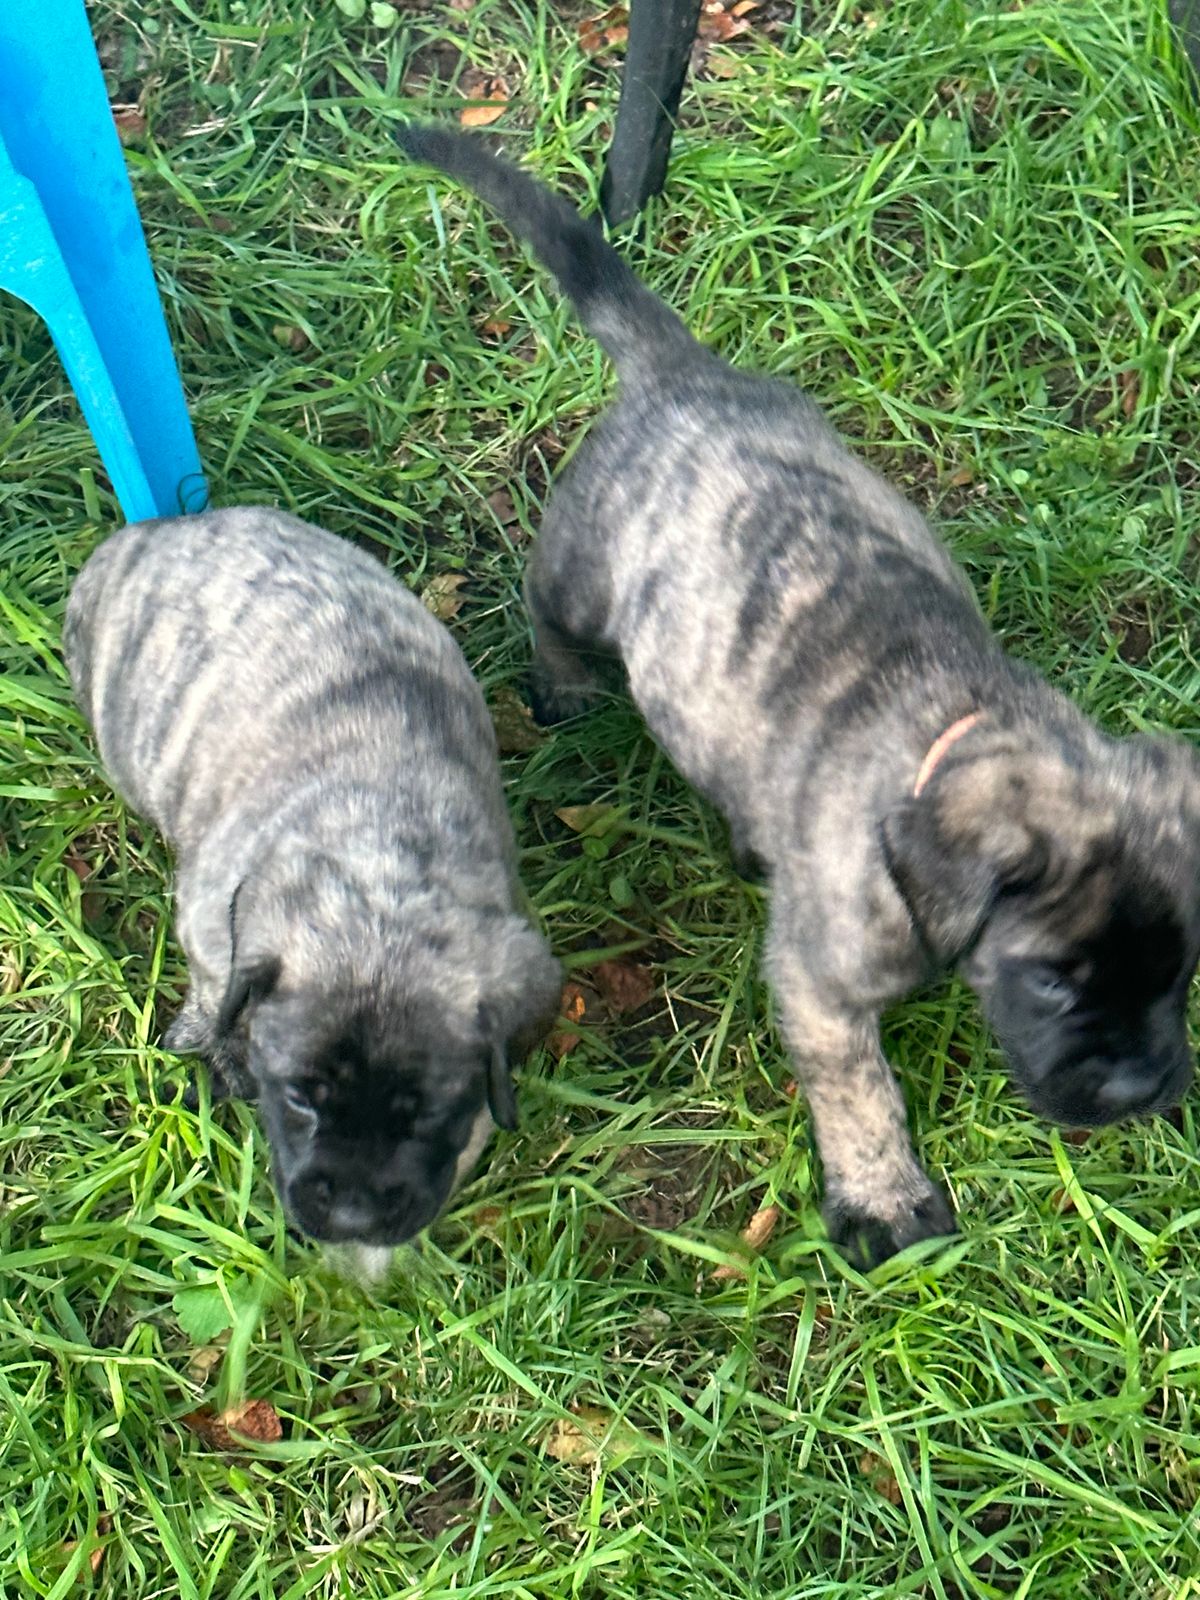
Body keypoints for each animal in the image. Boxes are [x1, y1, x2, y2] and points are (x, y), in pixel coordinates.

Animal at [65, 506, 561, 1262]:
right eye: (299, 1096)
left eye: (427, 1115)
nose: (354, 1219)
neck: (382, 862)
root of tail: (158, 529)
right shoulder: (214, 928)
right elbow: (215, 995)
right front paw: (215, 1049)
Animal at [396, 124, 1200, 1267]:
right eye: (1051, 979)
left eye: (1181, 969)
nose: (1140, 1089)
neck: (951, 738)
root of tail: (682, 374)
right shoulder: (822, 990)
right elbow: (860, 1093)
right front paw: (885, 1201)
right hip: (581, 570)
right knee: (544, 607)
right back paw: (564, 688)